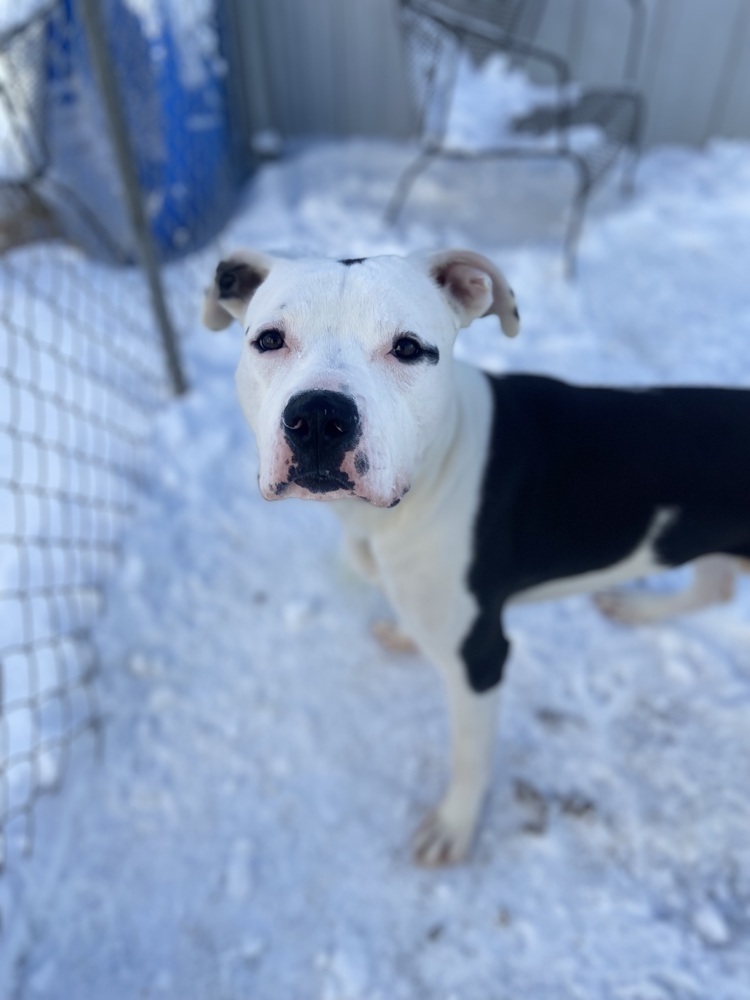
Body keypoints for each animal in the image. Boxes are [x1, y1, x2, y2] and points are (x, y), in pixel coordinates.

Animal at [203, 250, 748, 868]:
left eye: (409, 348)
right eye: (269, 339)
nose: (319, 417)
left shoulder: (480, 656)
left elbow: (470, 753)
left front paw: (454, 825)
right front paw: (404, 635)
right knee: (714, 585)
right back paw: (637, 610)